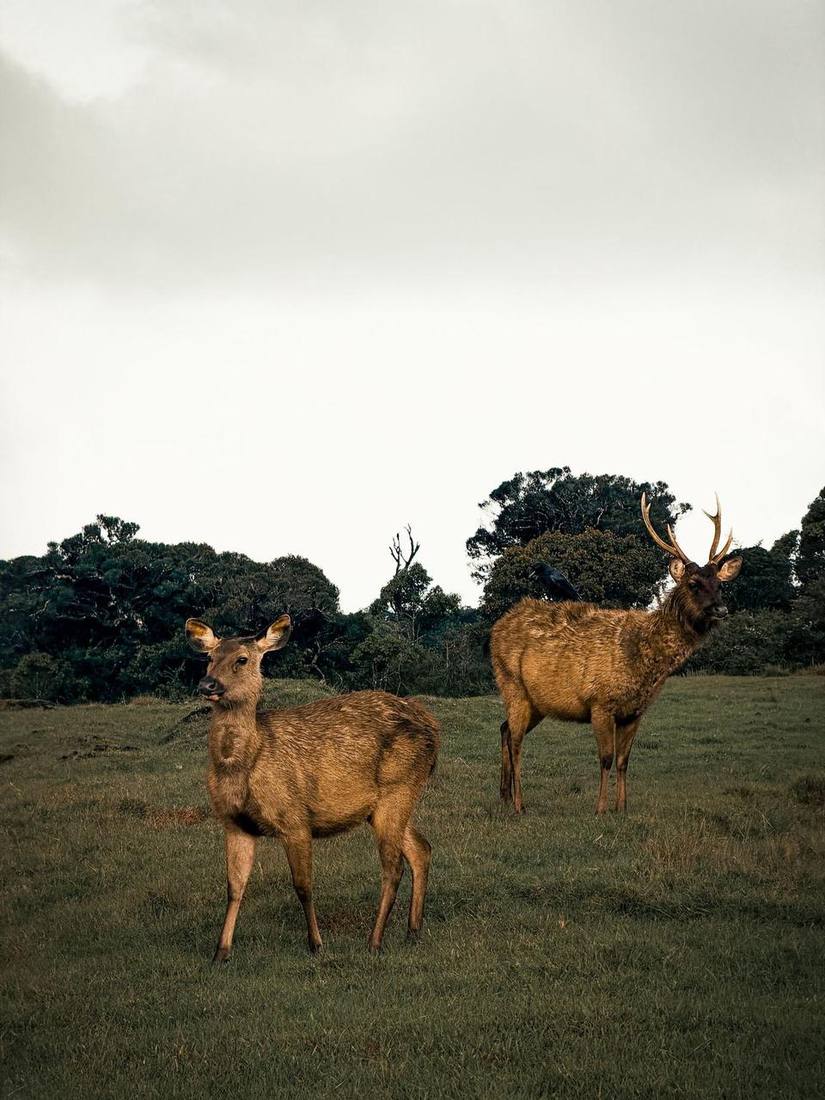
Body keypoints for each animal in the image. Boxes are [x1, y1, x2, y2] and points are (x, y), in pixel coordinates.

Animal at [185, 614, 439, 961]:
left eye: (242, 659)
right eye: (210, 658)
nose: (207, 684)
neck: (242, 765)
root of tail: (433, 728)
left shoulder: (294, 819)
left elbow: (303, 886)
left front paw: (316, 944)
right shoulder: (234, 823)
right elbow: (234, 887)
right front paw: (220, 952)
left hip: (398, 786)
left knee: (393, 865)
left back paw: (375, 940)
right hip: (386, 803)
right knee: (420, 848)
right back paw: (413, 931)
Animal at [490, 494, 742, 815]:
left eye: (720, 584)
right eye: (693, 583)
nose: (721, 609)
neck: (644, 666)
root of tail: (496, 627)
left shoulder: (635, 711)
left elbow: (624, 761)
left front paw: (622, 807)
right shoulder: (600, 702)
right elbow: (606, 758)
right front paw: (600, 808)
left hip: (537, 703)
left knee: (504, 730)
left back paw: (504, 795)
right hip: (512, 684)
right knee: (516, 741)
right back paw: (519, 804)